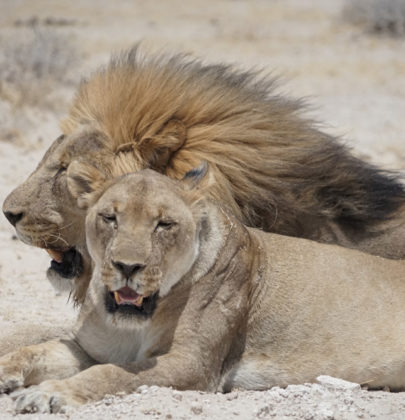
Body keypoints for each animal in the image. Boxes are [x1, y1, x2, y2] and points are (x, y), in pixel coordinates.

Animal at [3, 165, 404, 414]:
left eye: (163, 224)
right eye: (110, 218)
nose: (127, 267)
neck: (138, 320)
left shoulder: (192, 364)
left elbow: (109, 374)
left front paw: (50, 393)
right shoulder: (89, 347)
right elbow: (35, 351)